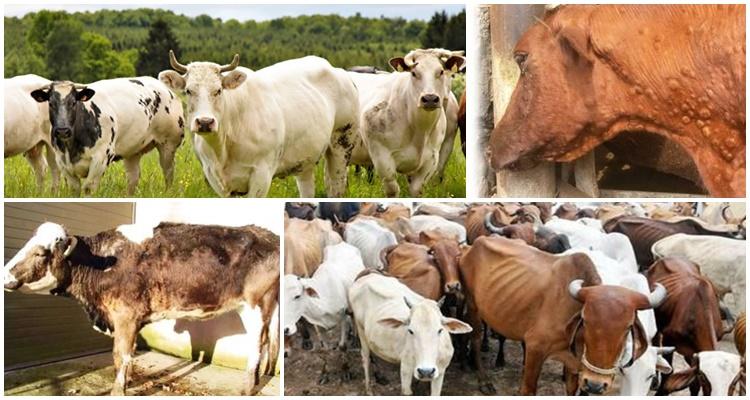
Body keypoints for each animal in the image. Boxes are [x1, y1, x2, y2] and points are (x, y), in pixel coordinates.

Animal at [3, 222, 279, 395]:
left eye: (40, 254)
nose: (4, 275)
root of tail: (268, 234)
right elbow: (128, 355)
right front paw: (127, 381)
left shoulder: (125, 316)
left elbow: (120, 355)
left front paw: (118, 391)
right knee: (268, 342)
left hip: (255, 305)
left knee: (256, 345)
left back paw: (247, 388)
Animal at [30, 78, 183, 196]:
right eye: (50, 103)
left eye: (73, 102)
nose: (62, 131)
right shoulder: (62, 163)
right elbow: (75, 190)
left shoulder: (101, 159)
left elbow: (88, 189)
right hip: (132, 152)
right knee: (133, 178)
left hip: (168, 145)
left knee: (168, 173)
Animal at [159, 51, 357, 197]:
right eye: (188, 91)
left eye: (218, 90)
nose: (205, 122)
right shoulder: (215, 177)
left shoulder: (262, 175)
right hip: (306, 159)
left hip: (342, 144)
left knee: (336, 188)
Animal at [348, 48, 466, 197]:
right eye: (414, 73)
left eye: (441, 72)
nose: (430, 98)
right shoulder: (381, 157)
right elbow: (392, 190)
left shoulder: (432, 159)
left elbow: (418, 189)